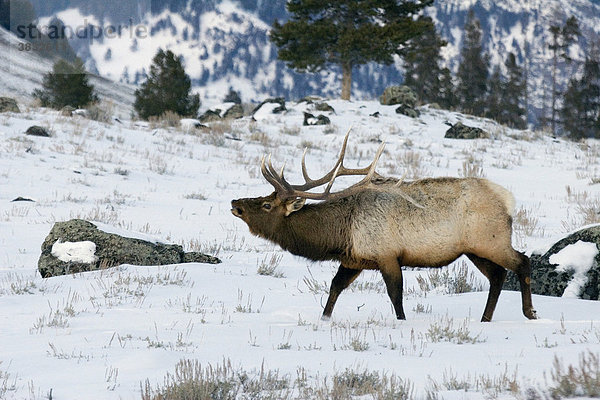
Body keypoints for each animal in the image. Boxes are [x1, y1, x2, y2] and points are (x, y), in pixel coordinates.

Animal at [231, 131, 540, 322]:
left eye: (266, 205)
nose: (236, 202)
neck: (340, 234)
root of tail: (508, 199)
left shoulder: (387, 255)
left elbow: (396, 295)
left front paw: (402, 321)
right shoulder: (354, 260)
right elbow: (334, 288)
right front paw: (324, 319)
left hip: (492, 239)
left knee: (522, 261)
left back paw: (529, 313)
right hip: (474, 249)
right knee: (498, 276)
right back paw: (485, 319)